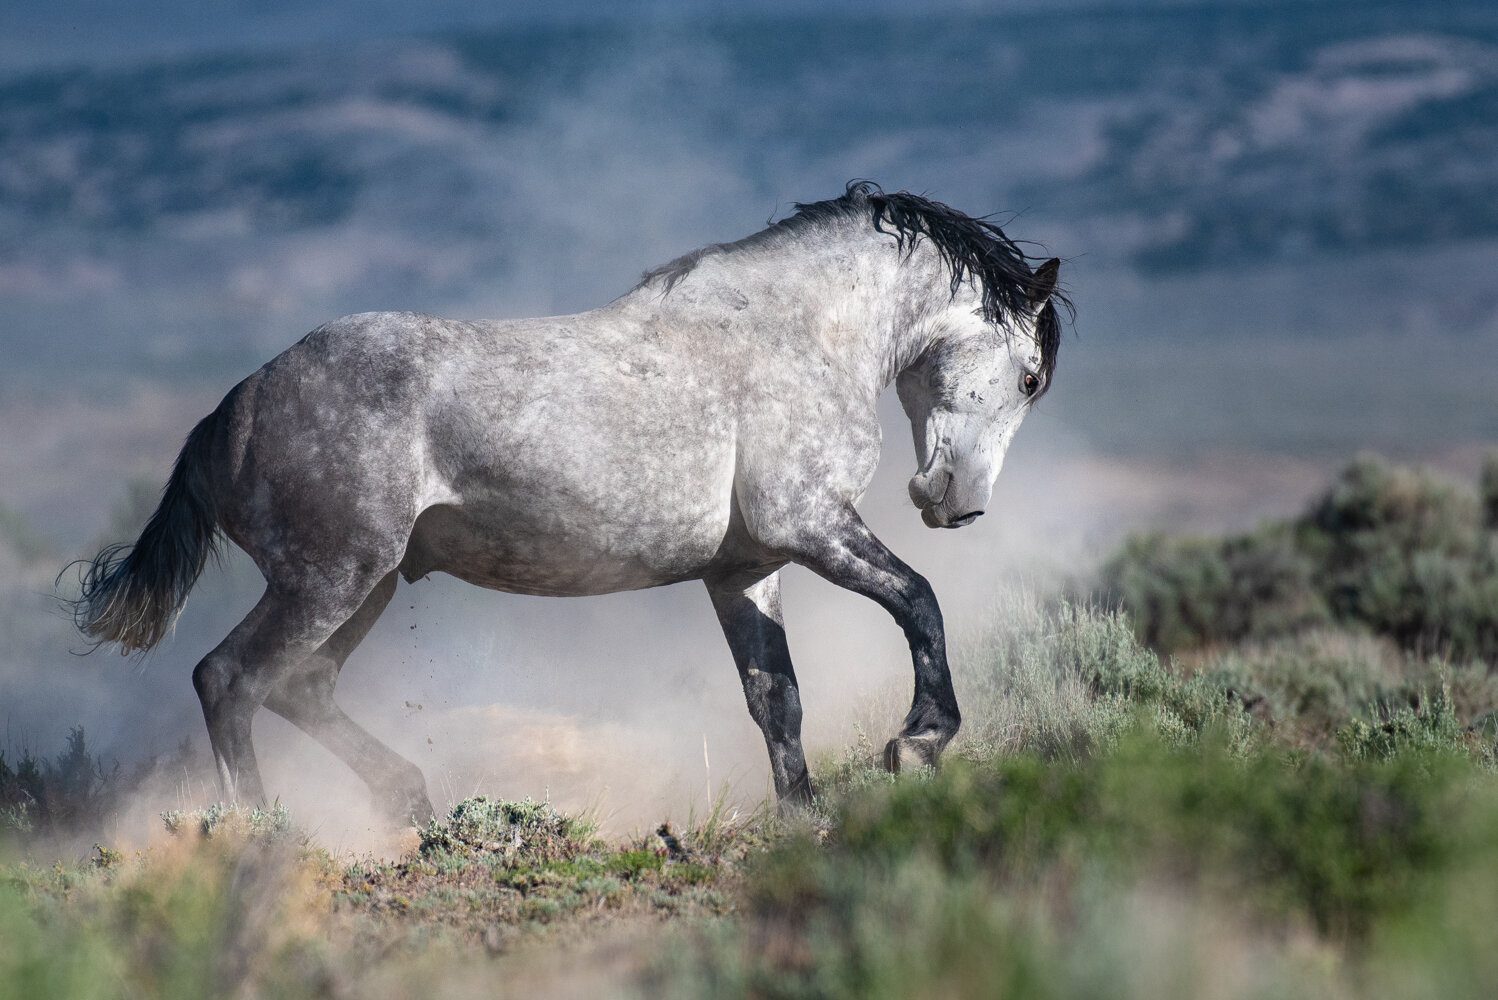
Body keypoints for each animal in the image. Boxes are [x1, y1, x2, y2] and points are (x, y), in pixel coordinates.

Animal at [70, 183, 1072, 826]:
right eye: (1028, 376)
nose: (957, 504)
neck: (791, 334)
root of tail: (228, 415)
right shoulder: (813, 528)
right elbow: (919, 601)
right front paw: (919, 742)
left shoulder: (746, 569)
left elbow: (777, 700)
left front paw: (803, 816)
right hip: (330, 579)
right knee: (228, 680)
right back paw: (265, 836)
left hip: (366, 586)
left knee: (298, 686)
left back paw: (410, 804)